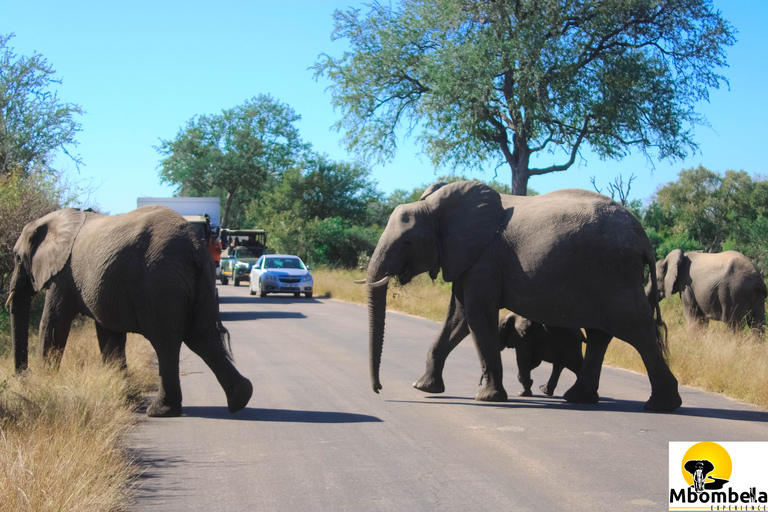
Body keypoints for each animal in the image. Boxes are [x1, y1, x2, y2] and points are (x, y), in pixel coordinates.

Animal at [7, 206, 254, 418]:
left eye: (17, 258)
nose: (22, 379)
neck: (53, 221)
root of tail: (194, 248)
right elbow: (109, 336)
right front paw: (122, 395)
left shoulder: (62, 276)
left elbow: (53, 325)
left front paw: (44, 384)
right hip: (199, 281)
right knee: (201, 337)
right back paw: (241, 397)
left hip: (160, 281)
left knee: (166, 342)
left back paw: (159, 411)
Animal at [366, 181, 684, 412]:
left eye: (407, 241)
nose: (378, 390)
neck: (437, 205)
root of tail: (643, 239)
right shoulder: (467, 259)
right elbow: (457, 318)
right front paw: (423, 388)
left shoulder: (484, 260)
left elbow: (476, 316)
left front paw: (488, 399)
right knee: (599, 335)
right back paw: (579, 398)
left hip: (615, 275)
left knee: (638, 331)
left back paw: (661, 406)